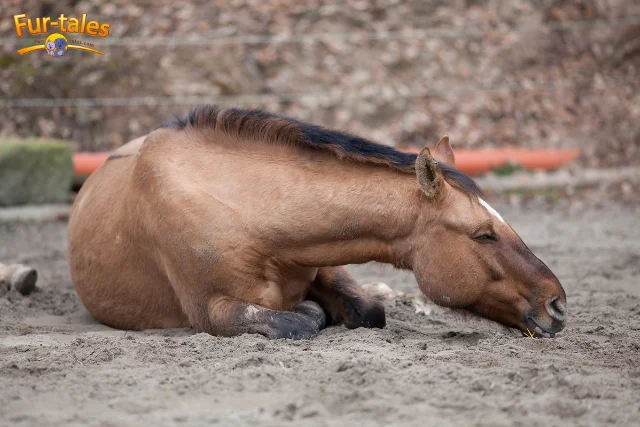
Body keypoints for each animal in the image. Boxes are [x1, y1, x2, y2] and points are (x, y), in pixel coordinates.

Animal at [68, 105, 566, 339]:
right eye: (483, 234)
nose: (557, 304)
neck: (247, 211)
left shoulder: (325, 261)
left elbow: (368, 310)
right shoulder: (211, 310)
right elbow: (299, 320)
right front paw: (312, 313)